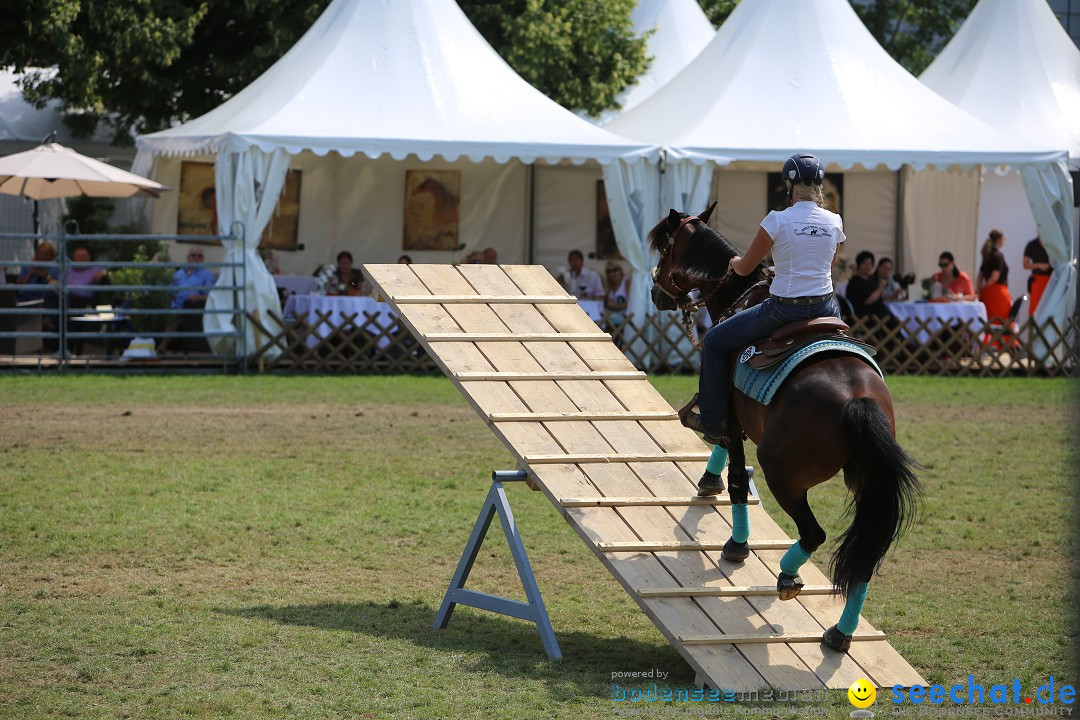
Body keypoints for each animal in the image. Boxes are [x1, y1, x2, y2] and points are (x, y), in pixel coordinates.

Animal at [643, 202, 924, 651]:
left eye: (664, 250)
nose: (654, 293)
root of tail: (857, 399)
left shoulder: (730, 410)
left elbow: (737, 477)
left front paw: (736, 544)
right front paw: (708, 481)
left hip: (783, 474)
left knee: (814, 534)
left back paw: (789, 575)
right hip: (868, 486)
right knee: (864, 560)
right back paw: (839, 633)